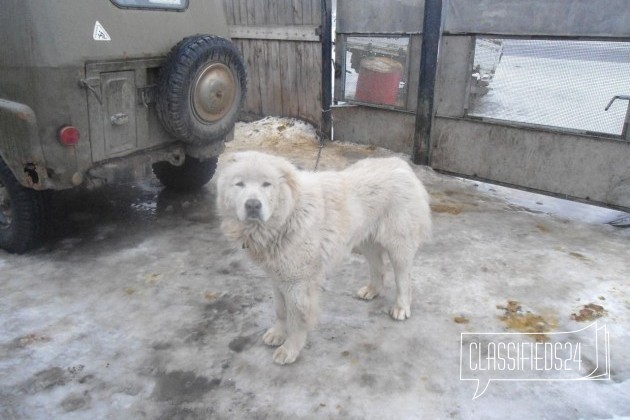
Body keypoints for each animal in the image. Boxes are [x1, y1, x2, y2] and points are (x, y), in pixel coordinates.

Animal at [218, 151, 434, 364]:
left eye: (266, 184)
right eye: (239, 184)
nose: (253, 205)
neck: (287, 216)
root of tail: (401, 164)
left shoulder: (298, 284)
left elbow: (296, 320)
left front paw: (290, 349)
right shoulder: (278, 278)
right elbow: (280, 310)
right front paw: (278, 333)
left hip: (399, 245)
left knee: (403, 278)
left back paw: (401, 307)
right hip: (365, 240)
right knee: (378, 266)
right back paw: (372, 290)